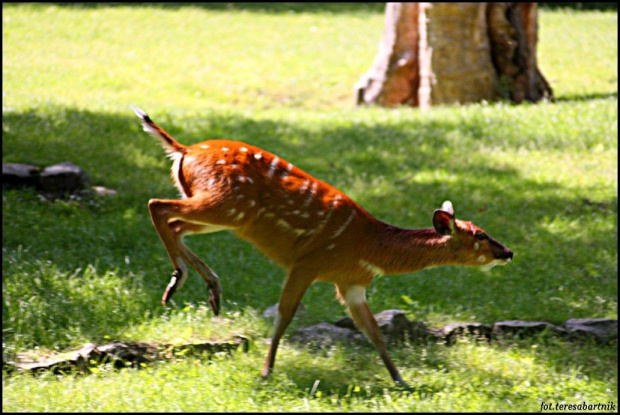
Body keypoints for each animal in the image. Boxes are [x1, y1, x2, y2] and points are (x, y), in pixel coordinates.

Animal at [132, 106, 512, 386]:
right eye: (480, 235)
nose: (507, 252)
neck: (369, 247)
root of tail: (184, 151)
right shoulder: (308, 262)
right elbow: (284, 314)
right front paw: (266, 372)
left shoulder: (352, 283)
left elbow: (375, 333)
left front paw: (401, 380)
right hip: (225, 201)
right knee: (157, 205)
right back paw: (180, 281)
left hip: (224, 212)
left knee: (176, 223)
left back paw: (208, 288)